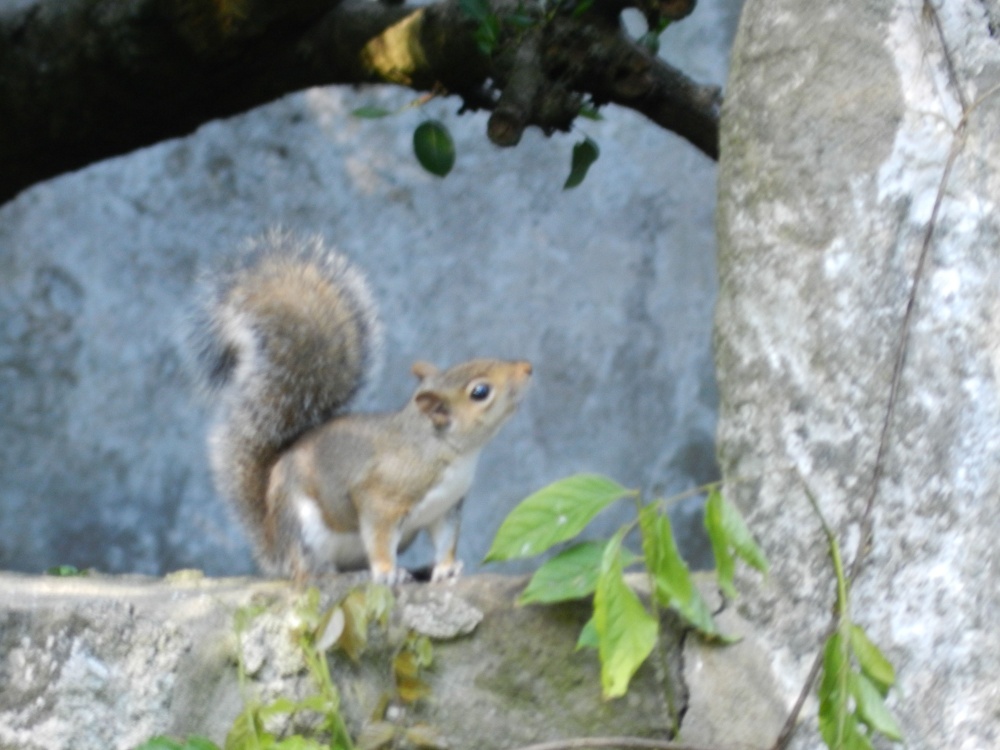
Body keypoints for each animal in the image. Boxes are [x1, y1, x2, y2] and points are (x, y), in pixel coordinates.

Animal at [189, 232, 532, 584]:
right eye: (480, 392)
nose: (527, 368)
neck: (444, 451)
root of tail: (274, 548)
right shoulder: (380, 497)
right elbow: (378, 538)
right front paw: (387, 572)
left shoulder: (446, 508)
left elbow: (446, 541)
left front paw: (447, 568)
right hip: (303, 530)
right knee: (306, 570)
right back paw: (328, 573)